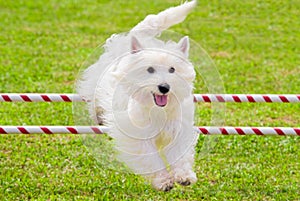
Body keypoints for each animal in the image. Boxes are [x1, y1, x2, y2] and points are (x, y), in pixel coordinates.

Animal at [77, 0, 198, 192]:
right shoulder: (137, 135)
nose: (164, 87)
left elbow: (180, 153)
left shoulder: (178, 129)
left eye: (172, 69)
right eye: (150, 69)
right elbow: (151, 158)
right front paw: (163, 181)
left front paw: (184, 176)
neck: (156, 110)